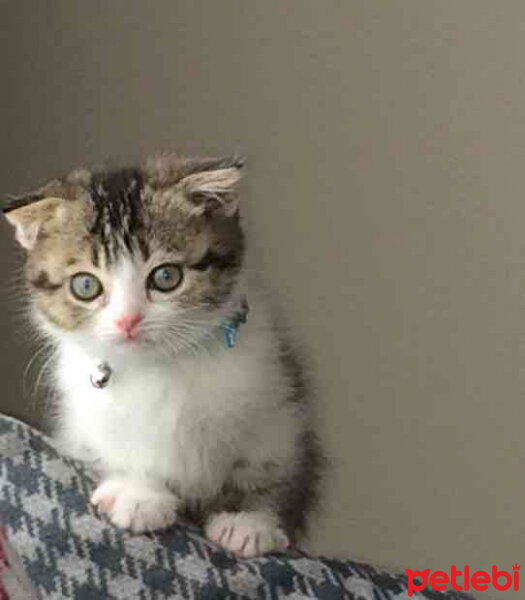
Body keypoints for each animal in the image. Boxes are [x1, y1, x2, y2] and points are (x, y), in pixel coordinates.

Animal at [4, 155, 324, 556]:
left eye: (166, 277)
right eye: (86, 285)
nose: (128, 321)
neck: (159, 364)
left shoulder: (277, 404)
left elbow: (268, 466)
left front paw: (249, 520)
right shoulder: (86, 421)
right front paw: (139, 494)